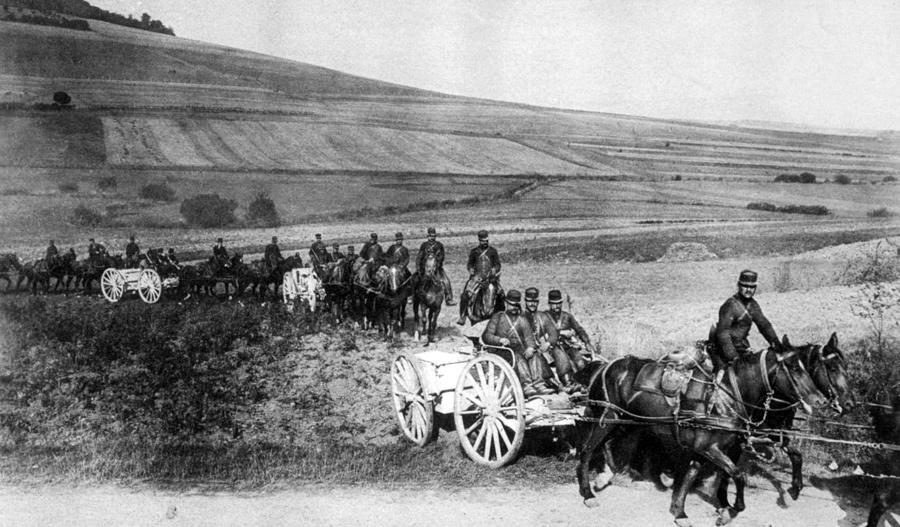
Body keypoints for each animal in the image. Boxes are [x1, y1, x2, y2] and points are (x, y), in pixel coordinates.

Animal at [580, 346, 828, 527]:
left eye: (805, 367)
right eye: (793, 369)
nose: (821, 400)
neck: (724, 397)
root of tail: (604, 367)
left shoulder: (710, 447)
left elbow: (693, 474)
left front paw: (680, 512)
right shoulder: (709, 448)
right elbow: (738, 475)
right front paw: (731, 509)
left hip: (627, 421)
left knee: (608, 444)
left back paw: (605, 476)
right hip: (607, 416)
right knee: (587, 450)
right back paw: (588, 493)